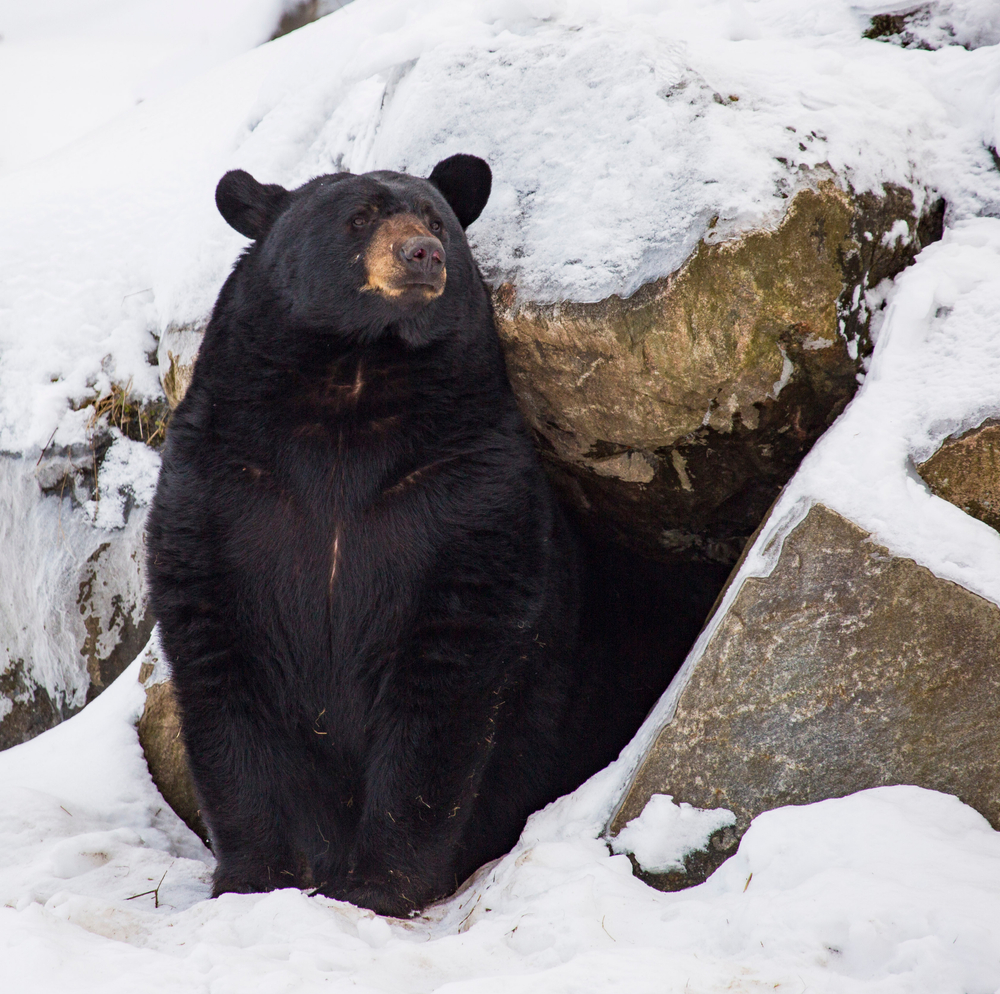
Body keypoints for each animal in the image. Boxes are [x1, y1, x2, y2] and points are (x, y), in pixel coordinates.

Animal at [146, 155, 603, 917]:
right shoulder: (220, 486)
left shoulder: (466, 489)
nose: (422, 254)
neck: (351, 387)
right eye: (357, 217)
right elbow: (220, 670)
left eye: (436, 219)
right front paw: (255, 875)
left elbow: (445, 680)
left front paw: (379, 884)